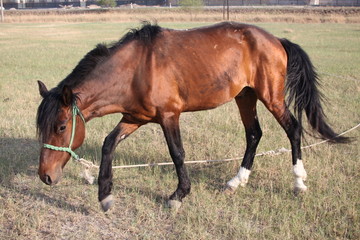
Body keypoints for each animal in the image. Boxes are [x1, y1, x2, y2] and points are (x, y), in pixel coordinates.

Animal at [35, 21, 348, 211]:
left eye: (61, 127)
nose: (45, 176)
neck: (135, 69)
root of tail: (275, 40)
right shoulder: (135, 117)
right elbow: (108, 144)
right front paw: (105, 196)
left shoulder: (169, 116)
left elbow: (177, 153)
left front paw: (178, 195)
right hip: (245, 96)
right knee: (254, 134)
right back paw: (236, 182)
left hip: (271, 96)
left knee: (293, 130)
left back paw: (298, 182)